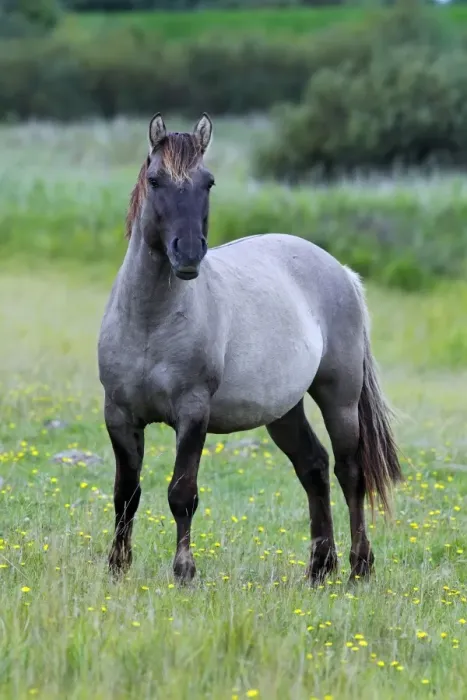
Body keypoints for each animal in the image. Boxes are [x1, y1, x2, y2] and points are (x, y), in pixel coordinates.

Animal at [98, 113, 402, 585]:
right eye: (155, 180)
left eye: (207, 182)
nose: (189, 254)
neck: (151, 322)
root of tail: (341, 271)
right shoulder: (119, 414)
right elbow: (126, 493)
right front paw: (117, 568)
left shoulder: (193, 413)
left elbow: (182, 493)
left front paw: (184, 571)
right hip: (284, 410)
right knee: (313, 467)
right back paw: (320, 568)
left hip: (340, 398)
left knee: (349, 472)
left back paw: (359, 567)